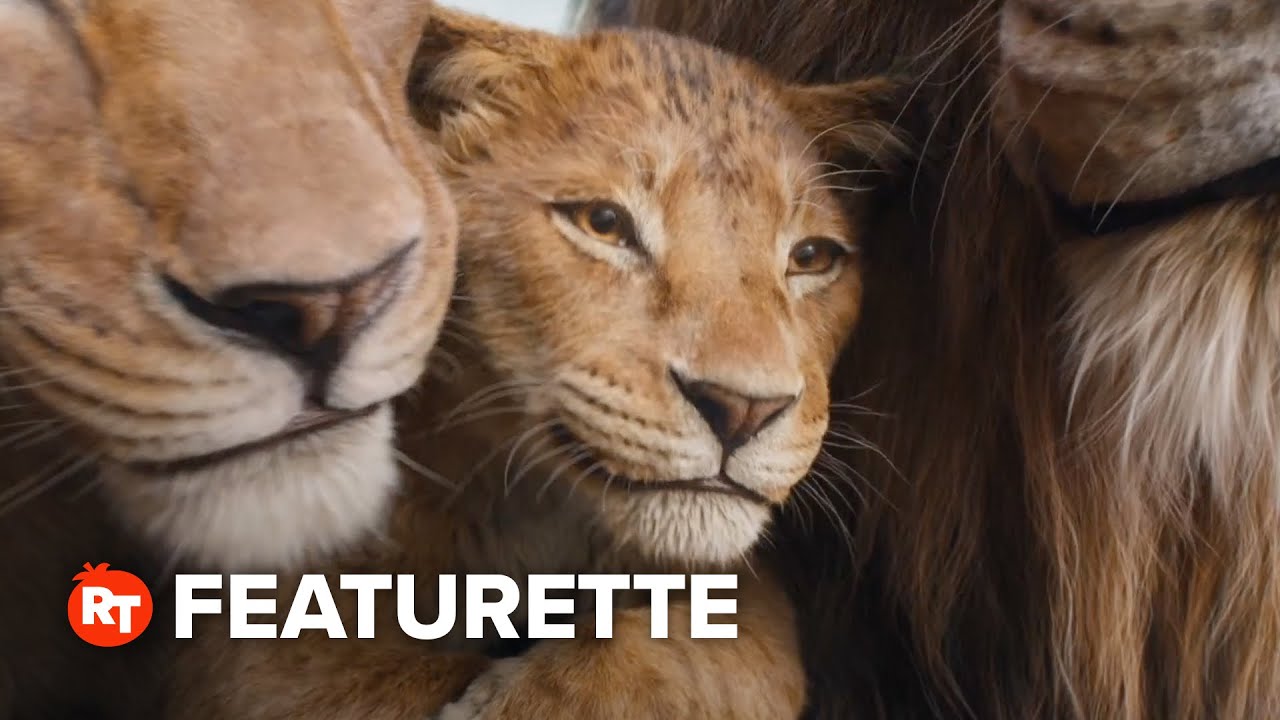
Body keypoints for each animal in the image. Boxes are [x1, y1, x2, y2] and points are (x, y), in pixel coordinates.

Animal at [170, 7, 909, 719]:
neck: (529, 511)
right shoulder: (255, 631)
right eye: (604, 223)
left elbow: (726, 657)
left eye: (811, 257)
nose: (745, 409)